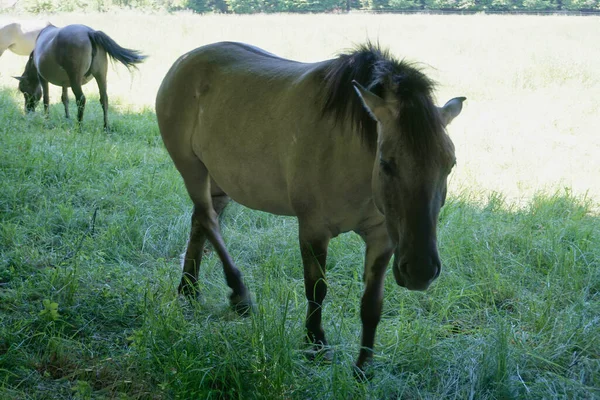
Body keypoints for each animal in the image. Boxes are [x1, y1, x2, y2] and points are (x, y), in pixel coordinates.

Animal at [14, 24, 146, 130]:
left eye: (24, 91)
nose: (27, 110)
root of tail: (90, 32)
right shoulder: (64, 83)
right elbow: (65, 99)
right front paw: (67, 118)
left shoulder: (42, 78)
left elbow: (46, 100)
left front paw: (47, 119)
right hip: (101, 75)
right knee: (104, 99)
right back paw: (105, 127)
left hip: (75, 79)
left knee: (81, 99)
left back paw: (79, 126)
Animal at [155, 41, 464, 372]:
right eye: (386, 163)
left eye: (450, 164)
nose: (420, 271)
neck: (349, 148)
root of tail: (184, 61)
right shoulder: (313, 228)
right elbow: (317, 289)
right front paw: (316, 343)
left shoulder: (382, 238)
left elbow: (372, 302)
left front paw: (363, 366)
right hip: (192, 168)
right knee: (208, 218)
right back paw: (238, 293)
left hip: (219, 180)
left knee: (200, 221)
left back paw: (189, 287)